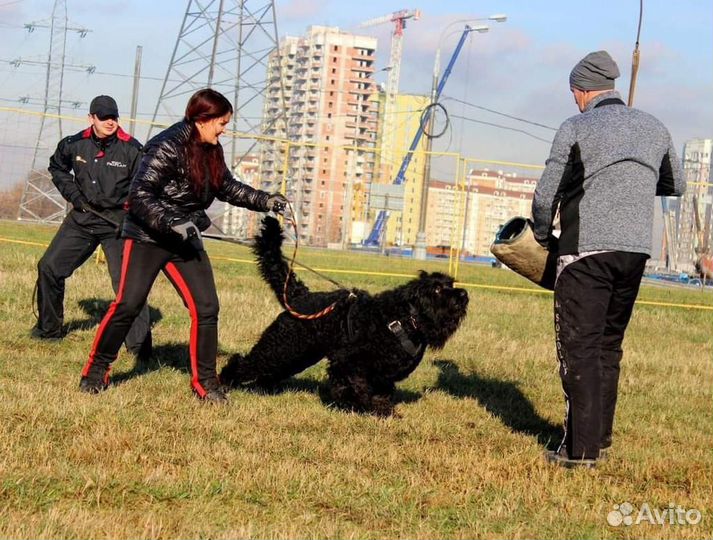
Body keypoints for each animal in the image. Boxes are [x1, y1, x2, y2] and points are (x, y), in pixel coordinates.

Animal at [220, 217, 470, 416]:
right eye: (436, 289)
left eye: (450, 284)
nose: (464, 294)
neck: (405, 320)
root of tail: (300, 296)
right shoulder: (348, 361)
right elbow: (355, 386)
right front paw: (358, 405)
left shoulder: (381, 374)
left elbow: (381, 391)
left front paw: (379, 407)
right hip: (280, 346)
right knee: (246, 362)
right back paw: (226, 380)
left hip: (299, 354)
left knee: (269, 370)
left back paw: (264, 388)